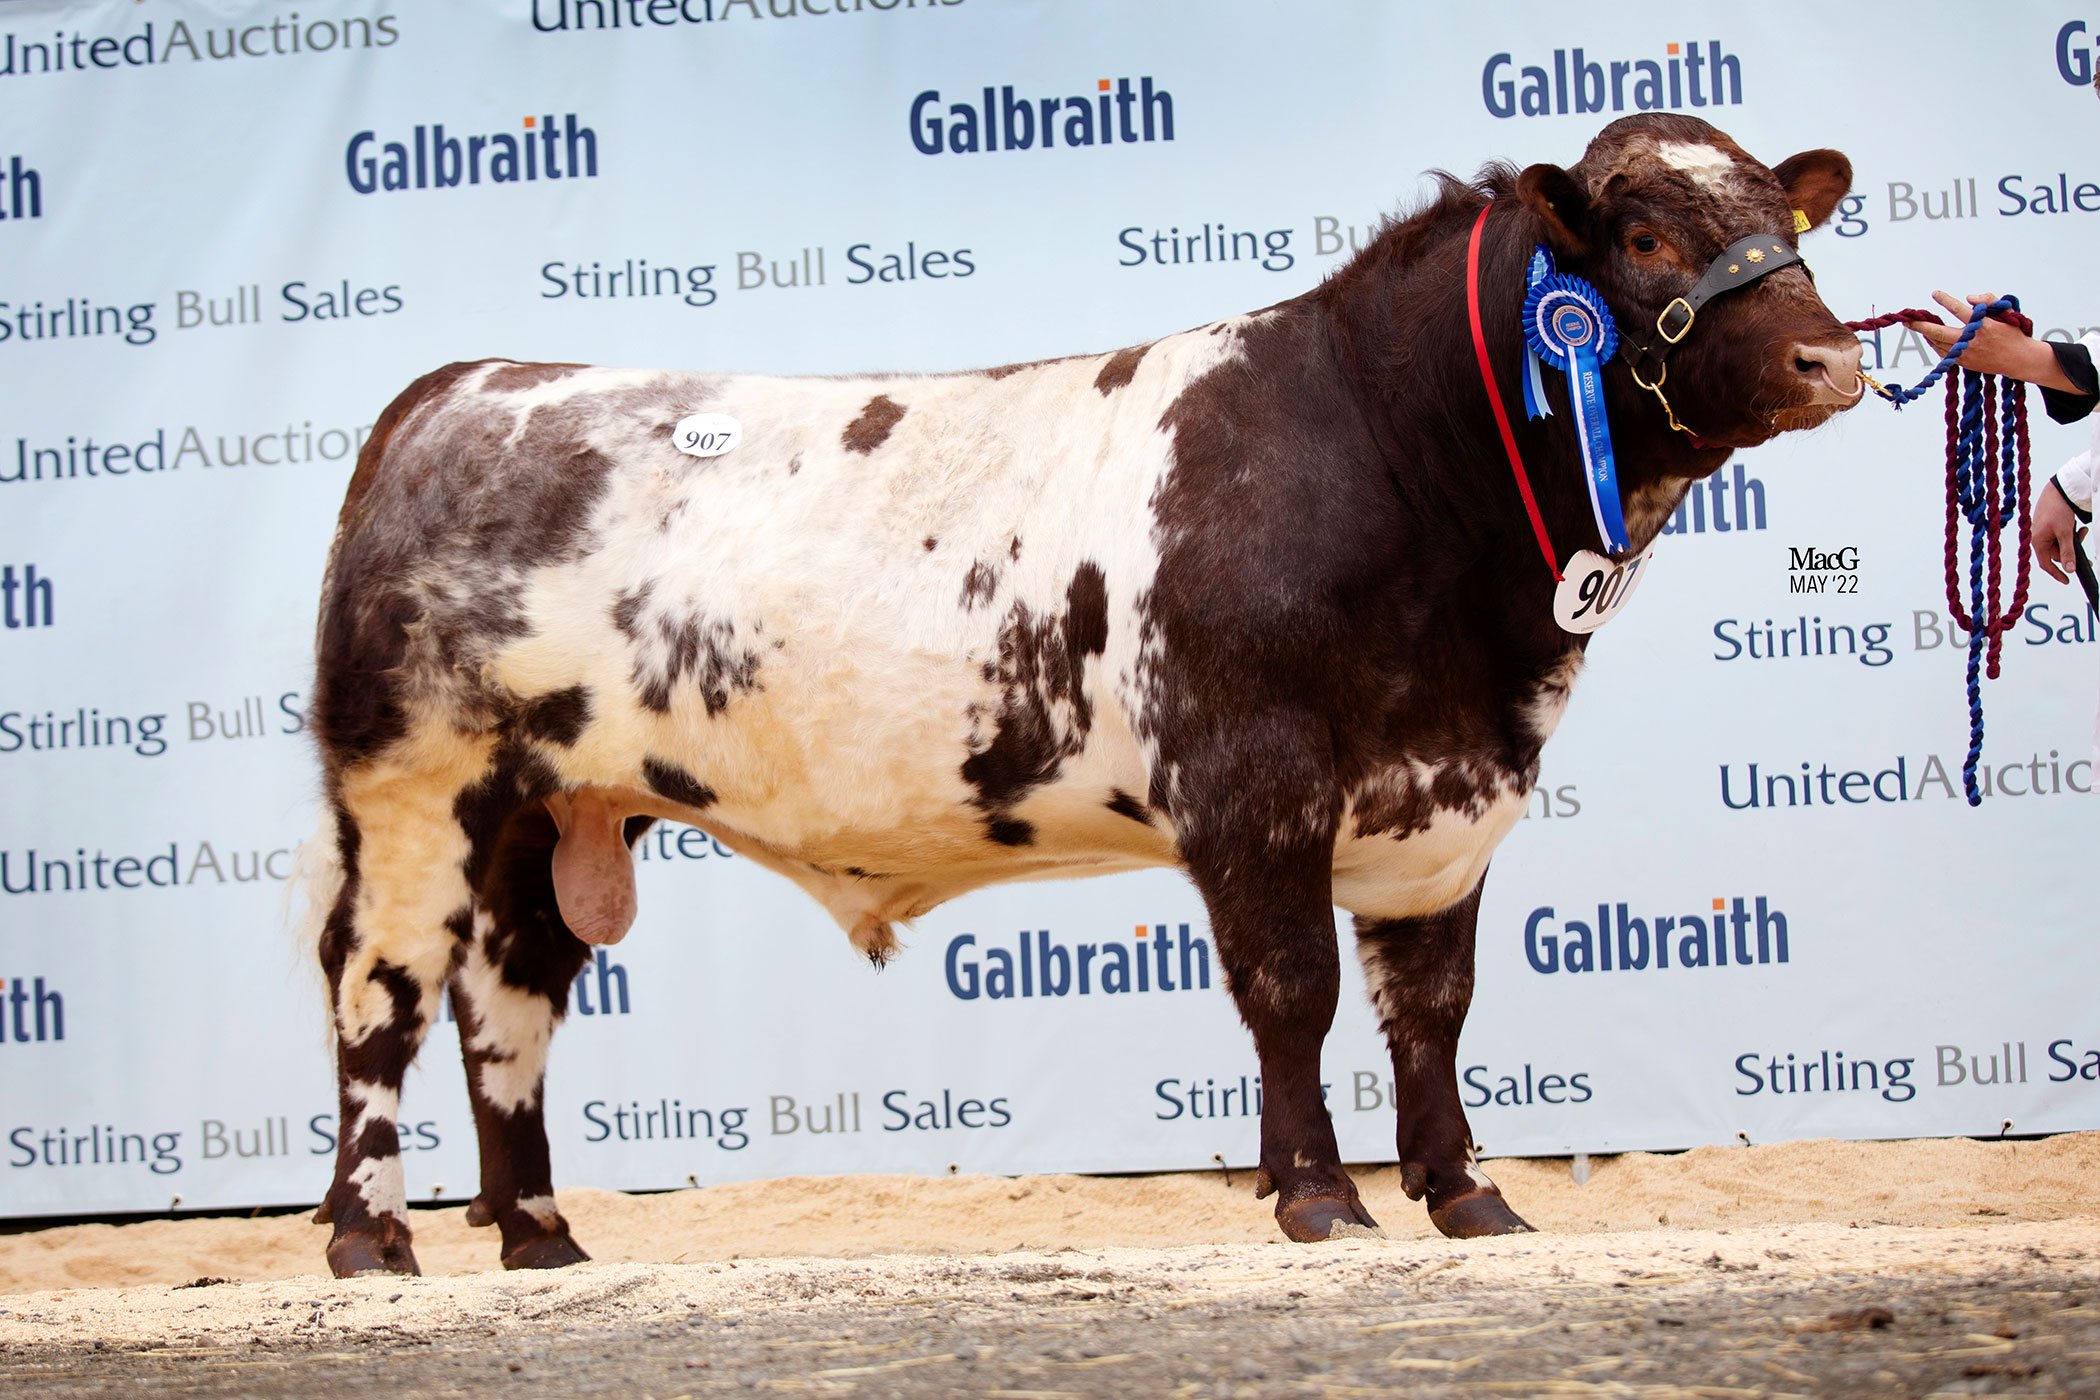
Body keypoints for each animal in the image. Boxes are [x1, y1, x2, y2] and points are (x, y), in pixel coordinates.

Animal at [304, 117, 1864, 1284]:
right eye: (1646, 237)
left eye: (1790, 230)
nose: (1834, 358)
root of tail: (460, 388)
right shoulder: (1253, 779)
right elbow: (1292, 991)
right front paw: (1321, 1196)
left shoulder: (1448, 800)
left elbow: (1434, 1005)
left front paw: (1469, 1198)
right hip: (412, 789)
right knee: (381, 993)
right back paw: (375, 1241)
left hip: (547, 811)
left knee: (506, 1007)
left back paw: (539, 1237)